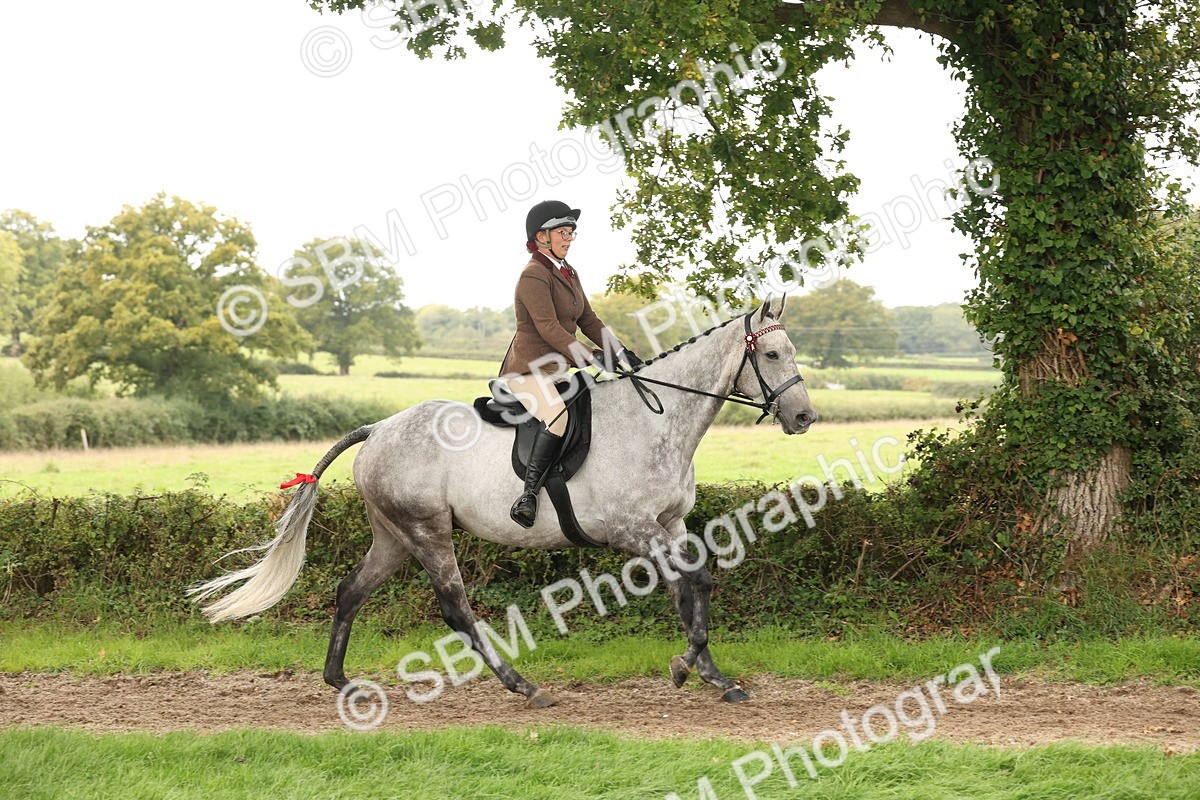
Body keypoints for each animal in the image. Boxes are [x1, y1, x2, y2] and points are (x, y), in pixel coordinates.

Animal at [189, 296, 817, 706]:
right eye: (774, 355)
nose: (805, 417)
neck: (656, 419)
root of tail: (378, 428)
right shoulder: (633, 528)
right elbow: (691, 582)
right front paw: (686, 666)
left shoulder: (672, 522)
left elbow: (694, 586)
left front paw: (711, 675)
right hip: (427, 531)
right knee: (455, 607)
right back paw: (522, 686)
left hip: (393, 535)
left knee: (351, 591)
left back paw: (340, 681)